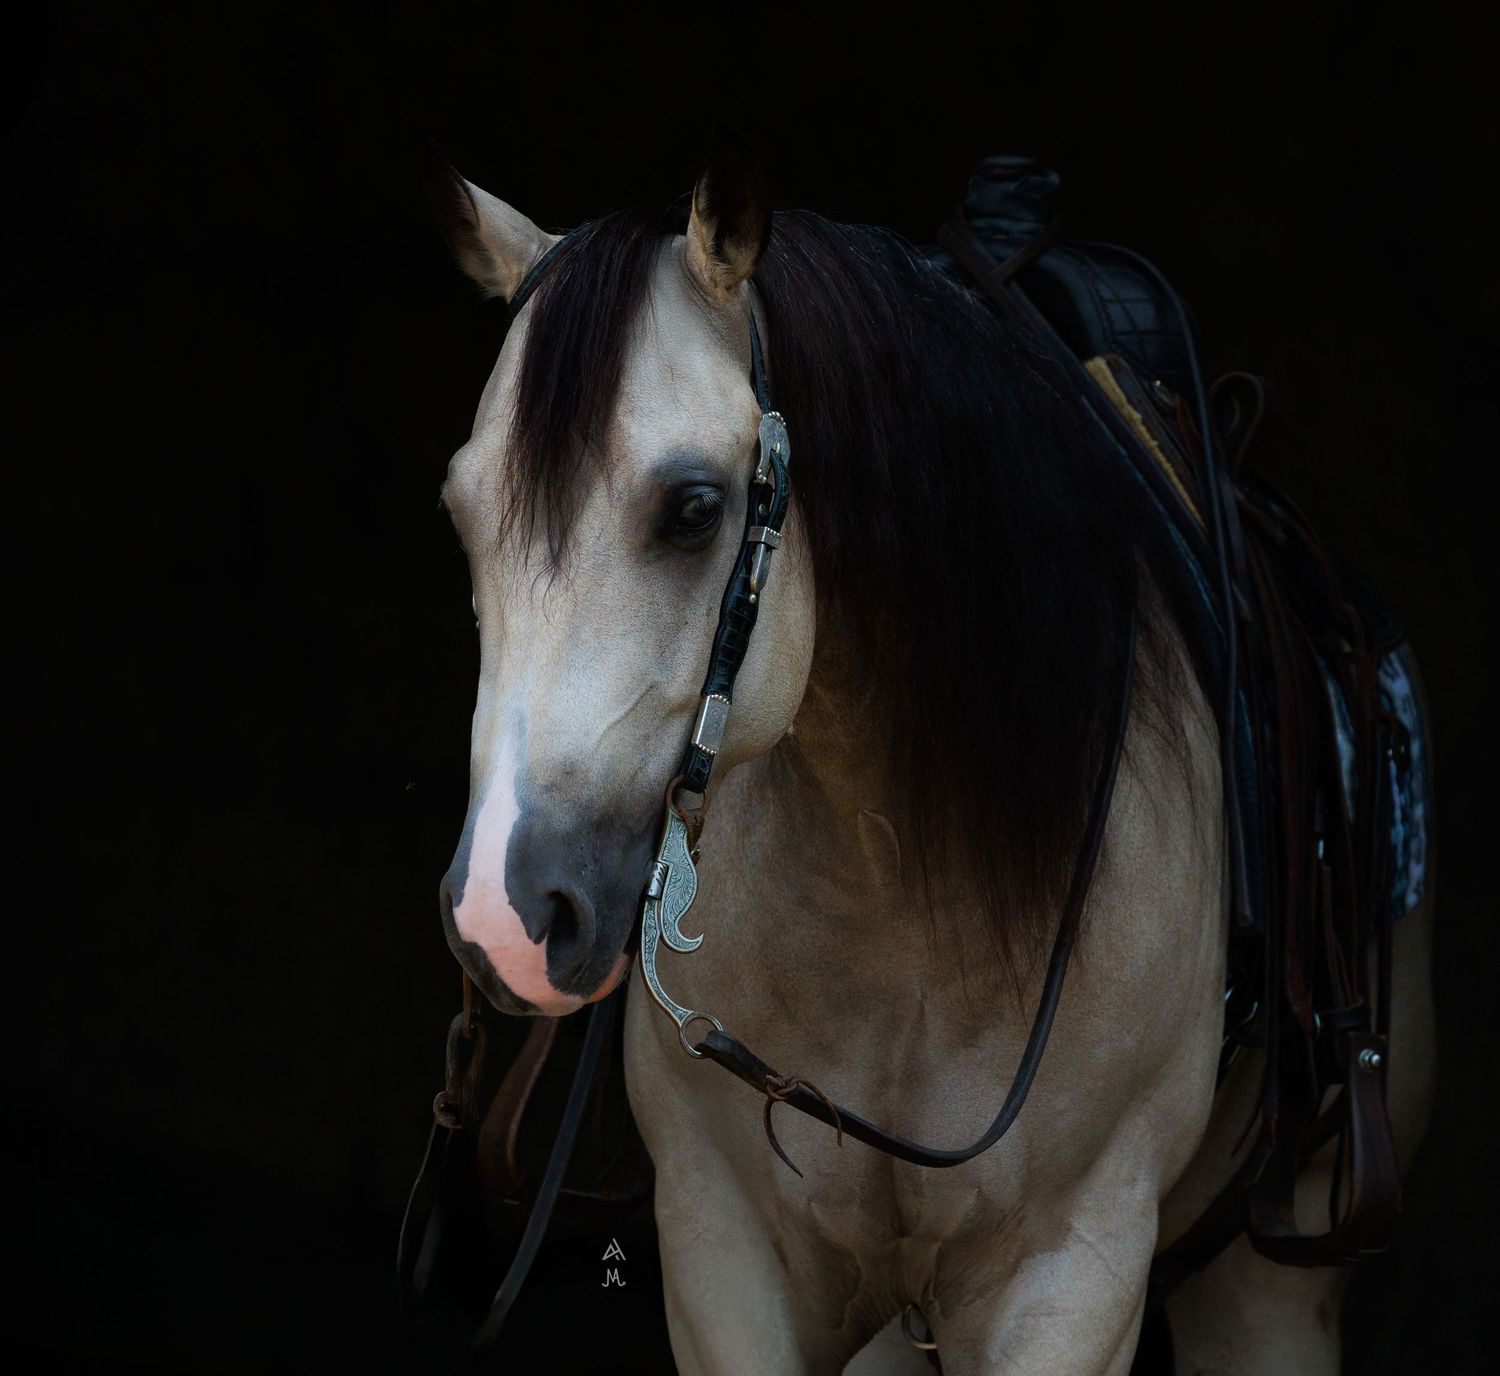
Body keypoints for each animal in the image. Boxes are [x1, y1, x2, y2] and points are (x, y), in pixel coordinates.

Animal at [430, 155, 1437, 1374]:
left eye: (696, 509)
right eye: (461, 512)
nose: (501, 915)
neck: (898, 886)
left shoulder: (1074, 1270)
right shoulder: (727, 1254)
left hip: (1266, 1283)